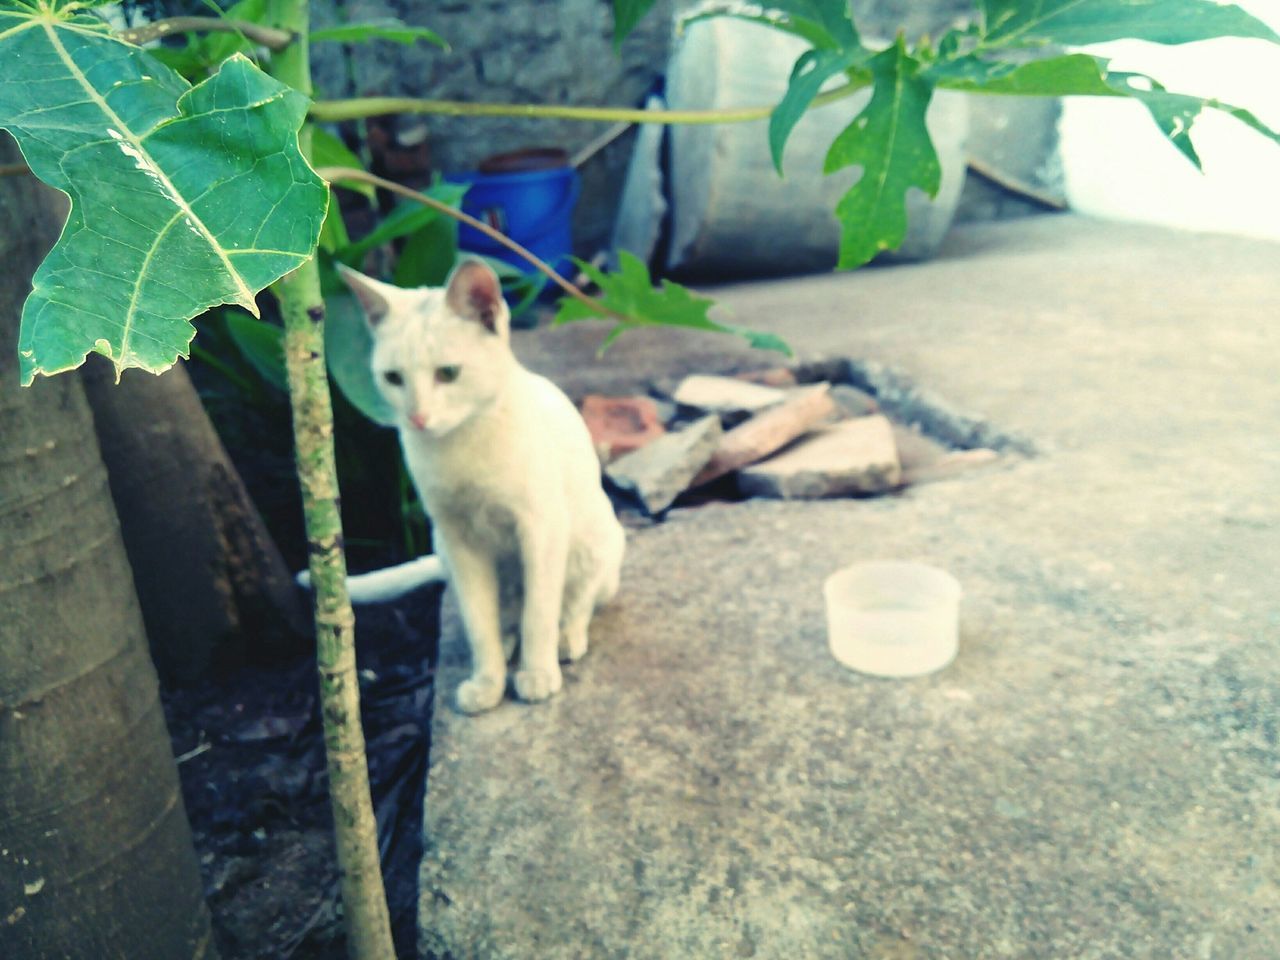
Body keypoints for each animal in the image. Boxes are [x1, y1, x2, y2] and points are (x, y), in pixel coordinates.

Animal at [335, 257, 624, 716]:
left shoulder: (541, 529)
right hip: (447, 553)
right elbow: (478, 623)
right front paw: (489, 682)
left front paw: (536, 674)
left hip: (593, 543)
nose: (416, 417)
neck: (460, 446)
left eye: (448, 374)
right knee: (505, 616)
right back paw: (506, 648)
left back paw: (565, 641)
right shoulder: (458, 540)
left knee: (575, 604)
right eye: (394, 378)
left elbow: (539, 614)